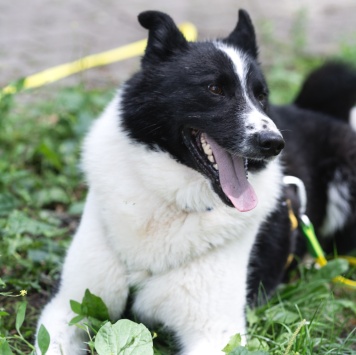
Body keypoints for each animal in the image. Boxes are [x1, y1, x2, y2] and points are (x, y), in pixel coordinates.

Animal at [35, 9, 356, 354]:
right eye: (214, 89)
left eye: (261, 95)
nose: (273, 143)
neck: (170, 201)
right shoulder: (67, 306)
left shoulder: (216, 333)